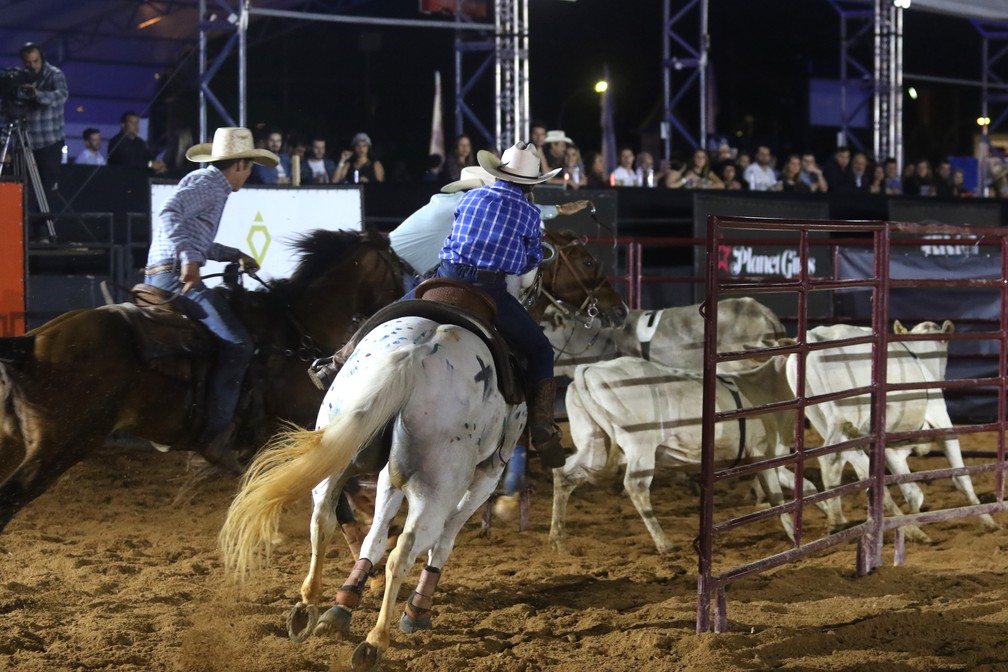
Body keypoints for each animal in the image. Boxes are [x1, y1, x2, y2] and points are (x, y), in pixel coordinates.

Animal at [552, 352, 818, 552]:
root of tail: (591, 368)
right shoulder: (762, 452)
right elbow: (777, 498)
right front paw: (794, 536)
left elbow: (807, 487)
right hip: (640, 445)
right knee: (636, 487)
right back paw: (664, 544)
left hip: (593, 442)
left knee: (565, 474)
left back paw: (557, 538)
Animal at [786, 318, 999, 540]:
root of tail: (813, 338)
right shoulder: (942, 420)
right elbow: (961, 477)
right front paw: (988, 520)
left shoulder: (892, 449)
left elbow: (911, 490)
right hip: (846, 415)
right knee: (833, 460)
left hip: (824, 419)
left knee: (855, 468)